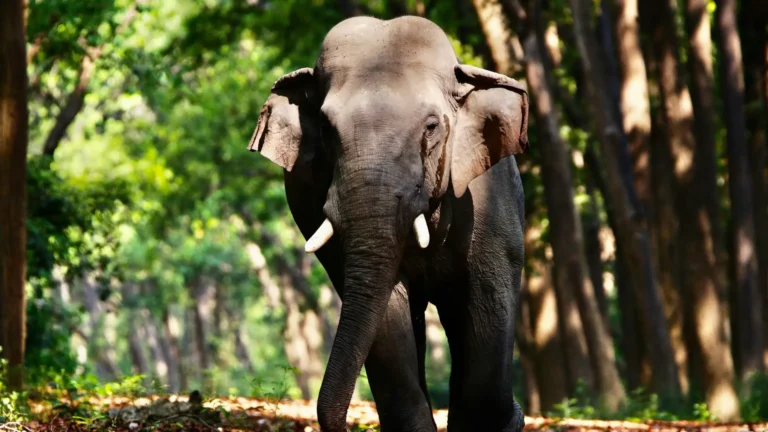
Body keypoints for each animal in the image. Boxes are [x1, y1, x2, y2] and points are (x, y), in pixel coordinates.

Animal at [247, 15, 529, 432]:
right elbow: (387, 314)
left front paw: (504, 419)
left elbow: (488, 297)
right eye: (326, 128)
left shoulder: (488, 198)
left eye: (432, 126)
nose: (520, 412)